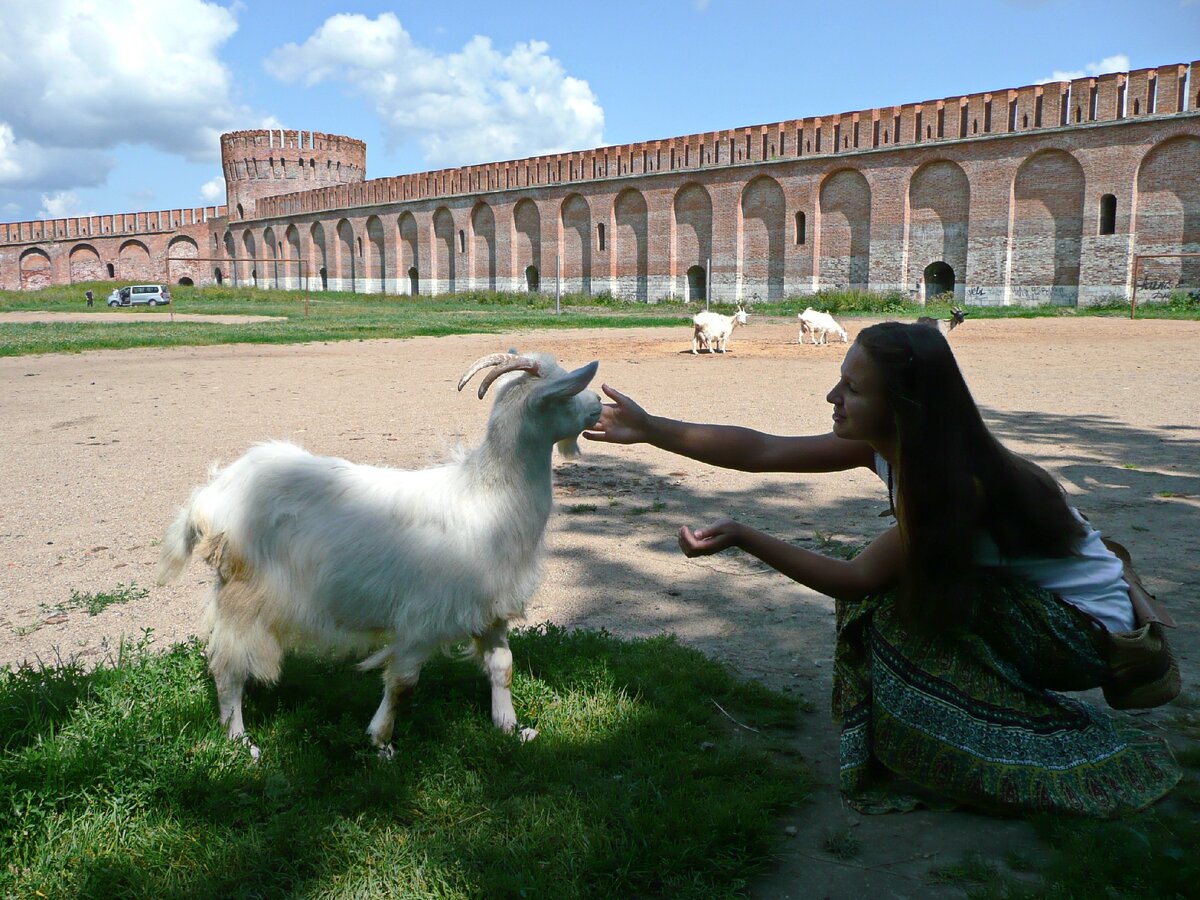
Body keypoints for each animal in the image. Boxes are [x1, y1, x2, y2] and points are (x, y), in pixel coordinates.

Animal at [159, 352, 604, 763]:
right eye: (564, 392)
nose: (599, 404)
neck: (489, 498)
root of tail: (213, 494)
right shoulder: (422, 617)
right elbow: (402, 684)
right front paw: (381, 743)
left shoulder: (489, 608)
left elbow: (502, 667)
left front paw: (510, 727)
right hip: (245, 595)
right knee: (228, 666)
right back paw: (240, 740)